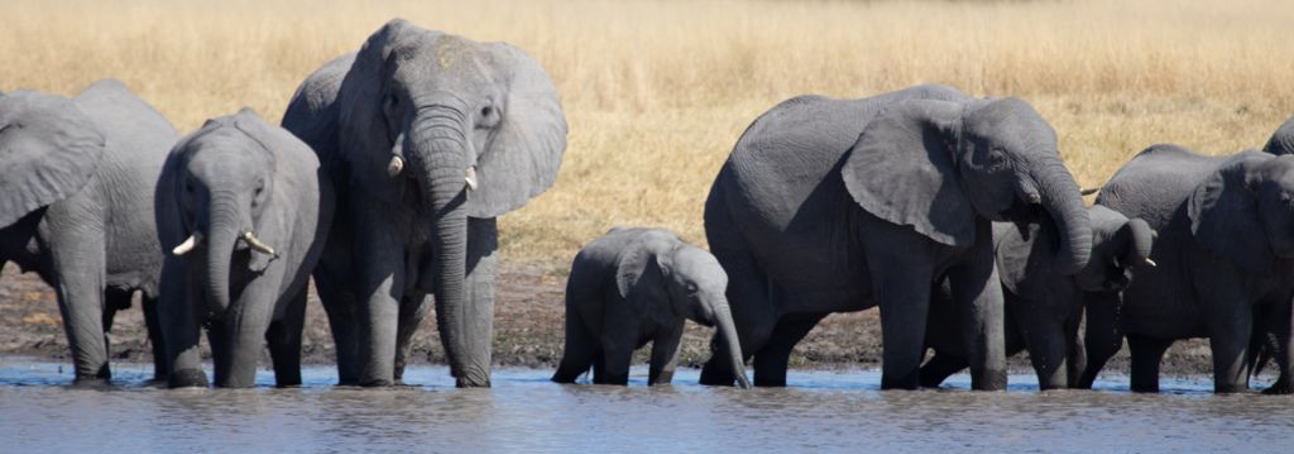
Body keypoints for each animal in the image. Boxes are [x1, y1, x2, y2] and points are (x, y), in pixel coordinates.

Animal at [156, 108, 334, 388]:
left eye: (258, 191)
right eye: (189, 188)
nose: (213, 310)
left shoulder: (276, 220)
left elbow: (247, 317)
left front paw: (236, 389)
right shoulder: (173, 224)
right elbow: (177, 308)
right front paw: (192, 383)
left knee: (285, 329)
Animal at [282, 19, 567, 387]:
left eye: (486, 112)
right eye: (393, 101)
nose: (458, 373)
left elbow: (473, 281)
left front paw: (476, 389)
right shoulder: (368, 176)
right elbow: (381, 267)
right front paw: (378, 387)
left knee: (412, 307)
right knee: (344, 300)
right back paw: (357, 379)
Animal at [551, 228, 751, 388]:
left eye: (725, 287)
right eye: (691, 289)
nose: (747, 386)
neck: (671, 250)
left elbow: (667, 350)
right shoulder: (620, 294)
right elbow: (619, 346)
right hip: (573, 291)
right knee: (578, 357)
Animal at [697, 84, 1093, 390]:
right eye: (997, 159)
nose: (1038, 215)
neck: (962, 109)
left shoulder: (966, 204)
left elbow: (983, 296)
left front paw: (991, 391)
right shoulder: (884, 216)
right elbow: (908, 298)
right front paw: (901, 390)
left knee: (785, 330)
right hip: (730, 224)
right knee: (756, 325)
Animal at [1083, 144, 1294, 393]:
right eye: (1285, 200)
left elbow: (1280, 323)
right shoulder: (1210, 250)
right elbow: (1233, 326)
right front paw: (1233, 391)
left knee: (1148, 347)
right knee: (1104, 345)